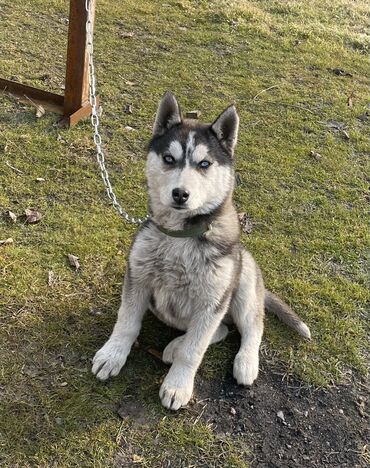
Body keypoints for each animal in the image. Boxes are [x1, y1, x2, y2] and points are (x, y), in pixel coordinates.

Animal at [91, 91, 310, 410]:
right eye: (169, 159)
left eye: (204, 164)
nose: (180, 194)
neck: (179, 236)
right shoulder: (137, 278)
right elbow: (127, 323)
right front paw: (113, 354)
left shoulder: (212, 302)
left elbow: (194, 351)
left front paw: (178, 385)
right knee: (220, 331)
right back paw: (174, 345)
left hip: (243, 281)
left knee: (250, 326)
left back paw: (245, 362)